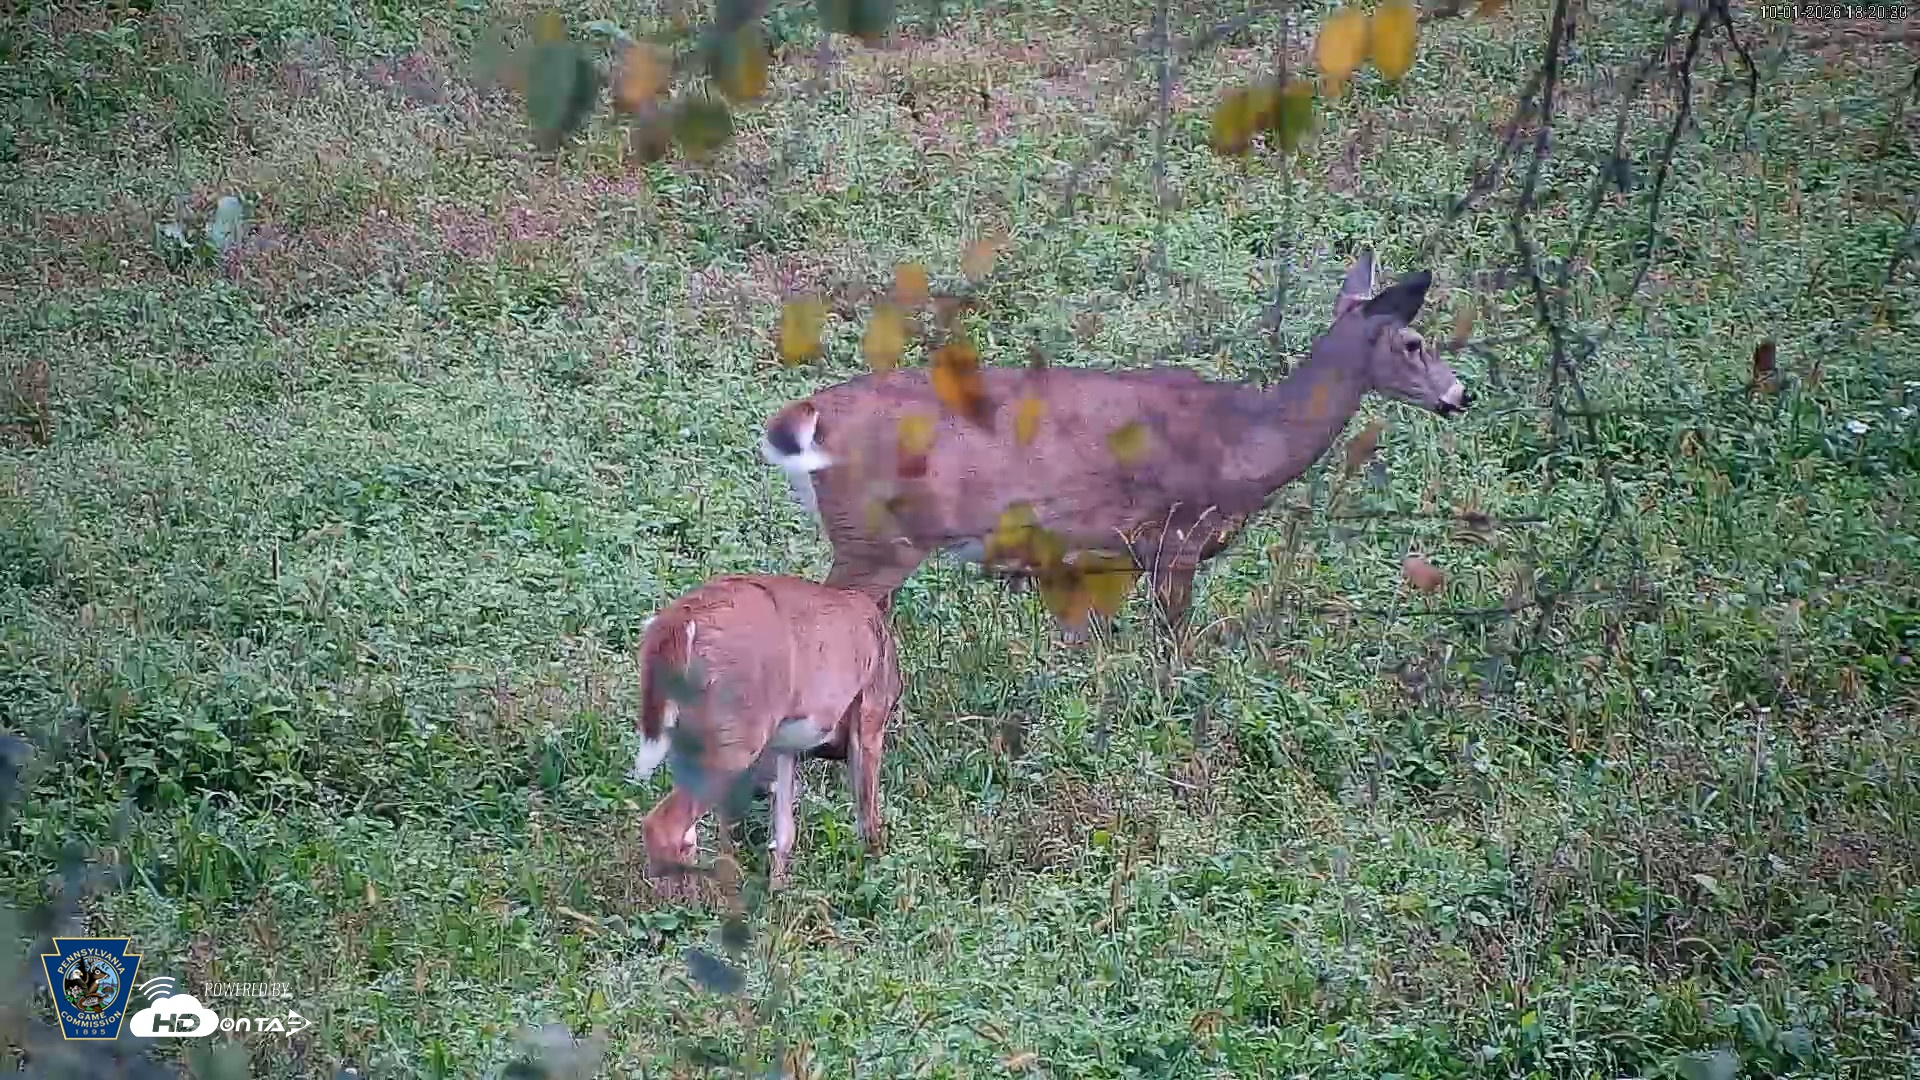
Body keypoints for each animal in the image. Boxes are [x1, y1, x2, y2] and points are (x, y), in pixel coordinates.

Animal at [628, 574, 902, 890]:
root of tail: (677, 623)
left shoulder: (785, 746)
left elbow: (784, 832)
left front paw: (778, 892)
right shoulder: (871, 714)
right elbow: (868, 815)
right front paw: (877, 874)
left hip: (689, 739)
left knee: (687, 834)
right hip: (734, 741)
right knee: (665, 827)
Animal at [757, 250, 1472, 638]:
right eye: (1415, 343)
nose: (1460, 394)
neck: (1249, 442)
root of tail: (808, 415)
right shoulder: (1175, 538)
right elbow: (1173, 647)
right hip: (875, 540)